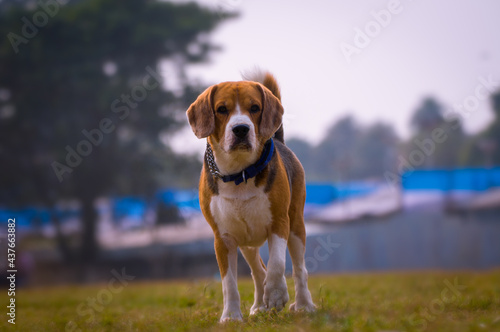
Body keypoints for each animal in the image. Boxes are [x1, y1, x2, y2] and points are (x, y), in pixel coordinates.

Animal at [186, 70, 314, 322]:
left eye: (254, 107)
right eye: (221, 109)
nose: (241, 129)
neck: (240, 173)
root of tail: (280, 140)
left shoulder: (279, 223)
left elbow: (277, 265)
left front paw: (276, 295)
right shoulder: (222, 237)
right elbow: (229, 283)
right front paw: (230, 316)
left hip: (296, 225)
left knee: (298, 269)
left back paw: (304, 305)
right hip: (246, 239)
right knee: (258, 270)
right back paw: (258, 306)